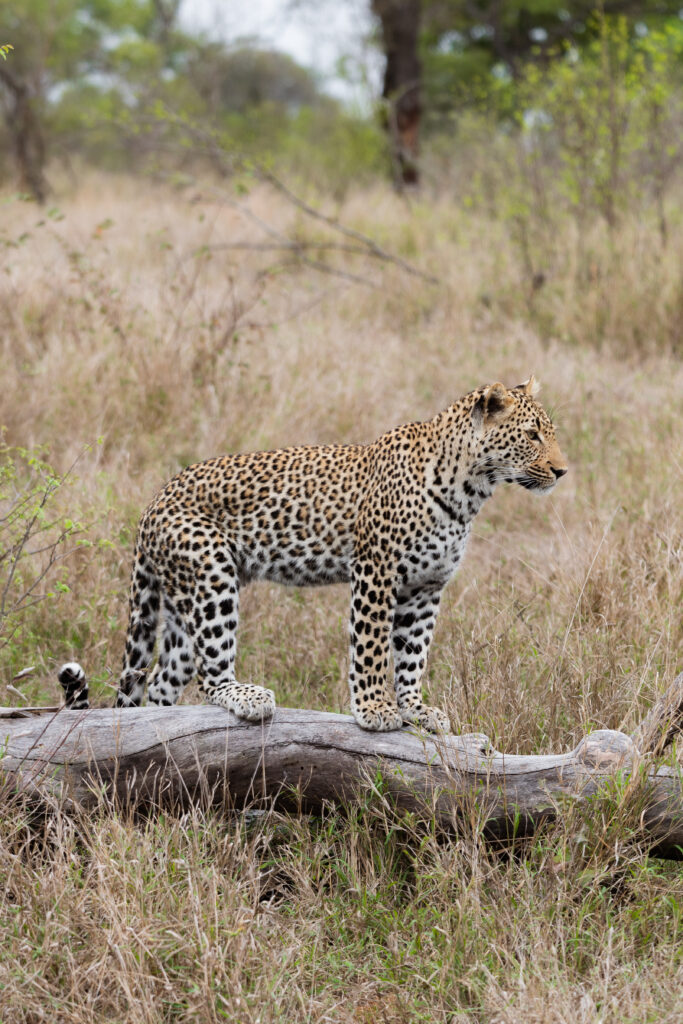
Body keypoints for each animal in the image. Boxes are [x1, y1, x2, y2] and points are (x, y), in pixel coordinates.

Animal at [61, 380, 569, 733]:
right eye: (531, 435)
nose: (563, 471)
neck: (470, 489)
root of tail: (152, 503)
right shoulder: (376, 572)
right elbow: (370, 647)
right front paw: (374, 710)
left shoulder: (426, 587)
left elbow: (413, 655)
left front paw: (416, 710)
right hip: (210, 576)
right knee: (209, 674)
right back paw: (246, 696)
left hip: (184, 602)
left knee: (161, 681)